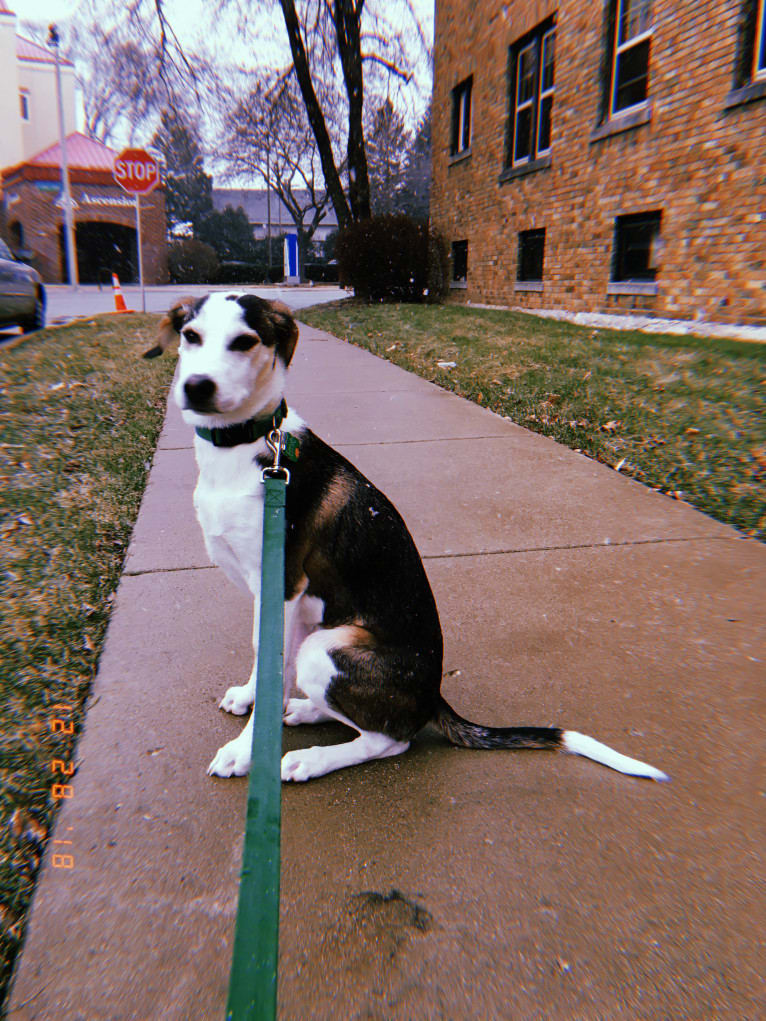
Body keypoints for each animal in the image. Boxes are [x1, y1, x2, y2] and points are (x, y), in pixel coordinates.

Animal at [145, 292, 669, 784]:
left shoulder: (283, 582)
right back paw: (307, 710)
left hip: (328, 647)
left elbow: (274, 663)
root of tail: (433, 695)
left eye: (244, 342)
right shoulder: (270, 598)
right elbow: (264, 658)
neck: (246, 447)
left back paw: (311, 758)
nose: (197, 387)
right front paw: (252, 699)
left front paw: (244, 751)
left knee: (391, 739)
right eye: (190, 336)